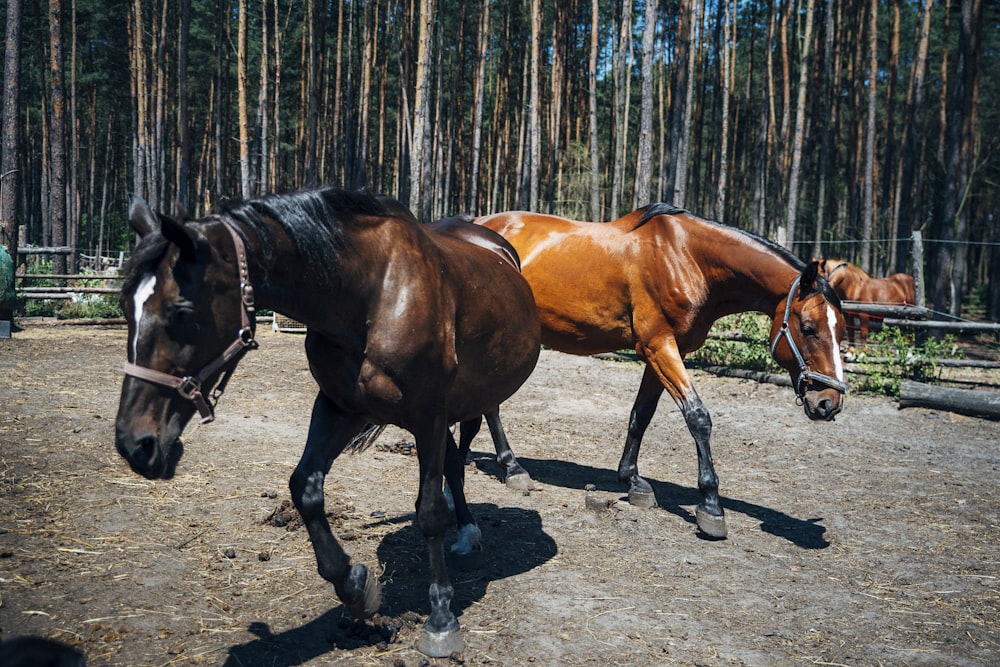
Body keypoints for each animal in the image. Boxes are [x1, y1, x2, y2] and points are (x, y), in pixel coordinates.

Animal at [113, 187, 544, 656]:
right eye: (125, 307)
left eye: (181, 312)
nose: (136, 444)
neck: (372, 296)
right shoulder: (340, 408)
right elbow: (305, 487)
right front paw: (356, 588)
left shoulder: (428, 415)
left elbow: (430, 511)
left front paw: (442, 619)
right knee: (454, 460)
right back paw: (465, 526)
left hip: (476, 391)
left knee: (480, 425)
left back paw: (503, 481)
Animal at [472, 206, 848, 540]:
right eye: (808, 327)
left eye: (842, 328)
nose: (828, 403)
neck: (688, 259)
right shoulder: (658, 346)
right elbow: (698, 417)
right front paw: (711, 507)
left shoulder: (665, 351)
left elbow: (642, 414)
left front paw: (633, 481)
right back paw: (513, 468)